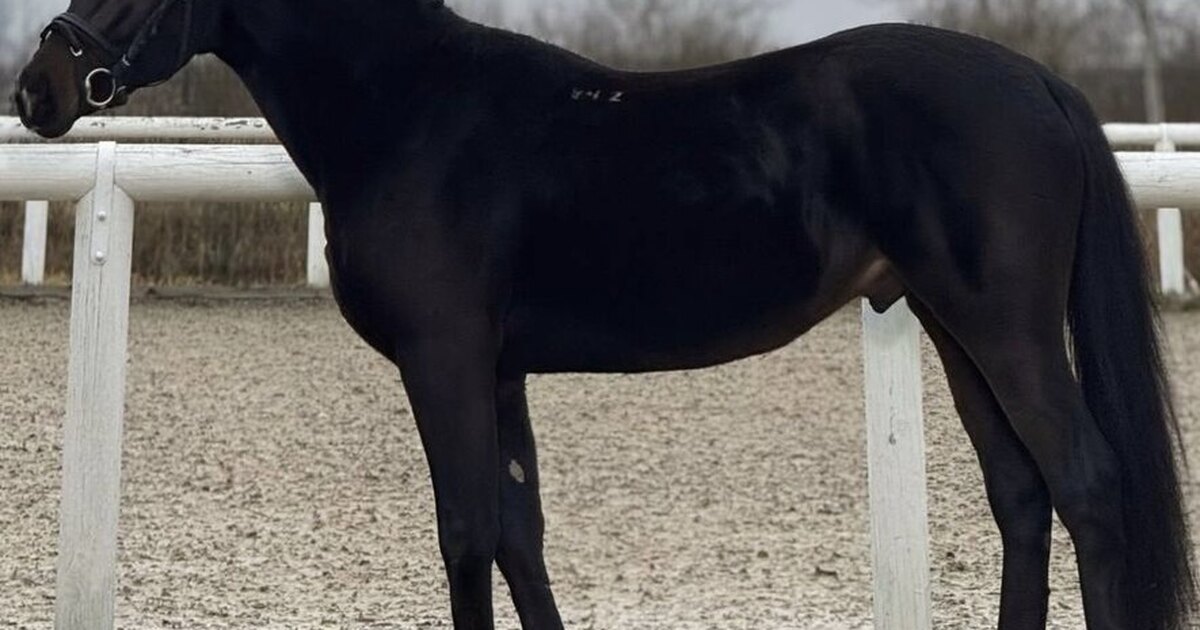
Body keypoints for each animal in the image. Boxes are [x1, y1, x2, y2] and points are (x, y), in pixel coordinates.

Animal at [13, 1, 1196, 628]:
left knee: (1087, 487)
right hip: (957, 331)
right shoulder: (495, 368)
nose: (40, 89)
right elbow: (518, 531)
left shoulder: (443, 359)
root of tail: (1039, 84)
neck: (412, 116)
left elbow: (465, 530)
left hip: (1005, 332)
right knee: (1022, 498)